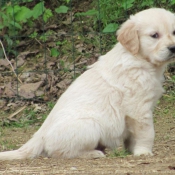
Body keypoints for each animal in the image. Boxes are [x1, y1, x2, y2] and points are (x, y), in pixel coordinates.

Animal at [0, 8, 175, 160]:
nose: (173, 48)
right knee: (59, 152)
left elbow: (131, 137)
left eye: (173, 32)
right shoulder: (139, 109)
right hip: (90, 126)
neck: (139, 59)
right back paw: (93, 153)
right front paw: (144, 152)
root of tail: (39, 134)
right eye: (154, 35)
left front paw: (132, 150)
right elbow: (147, 133)